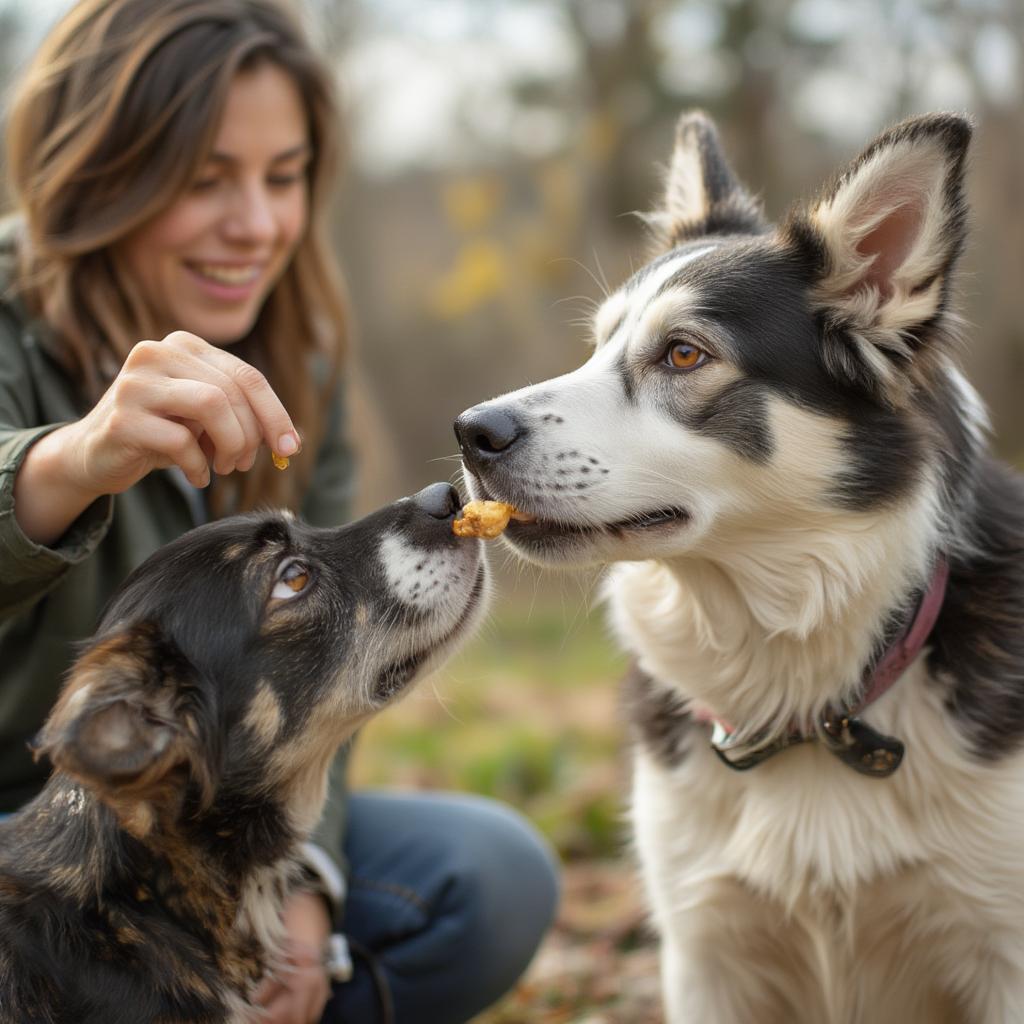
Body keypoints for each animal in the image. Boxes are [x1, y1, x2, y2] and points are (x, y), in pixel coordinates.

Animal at [456, 114, 1024, 1024]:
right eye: (597, 346)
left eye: (684, 355)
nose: (472, 431)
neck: (803, 700)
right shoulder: (706, 951)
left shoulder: (1002, 950)